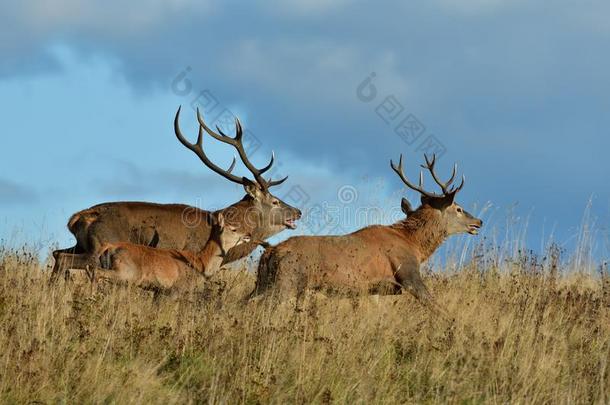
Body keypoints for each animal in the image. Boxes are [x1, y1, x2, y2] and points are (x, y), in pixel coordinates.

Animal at [76, 213, 249, 288]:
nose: (248, 235)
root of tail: (109, 247)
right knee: (97, 272)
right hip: (127, 273)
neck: (201, 263)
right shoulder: (177, 288)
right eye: (233, 229)